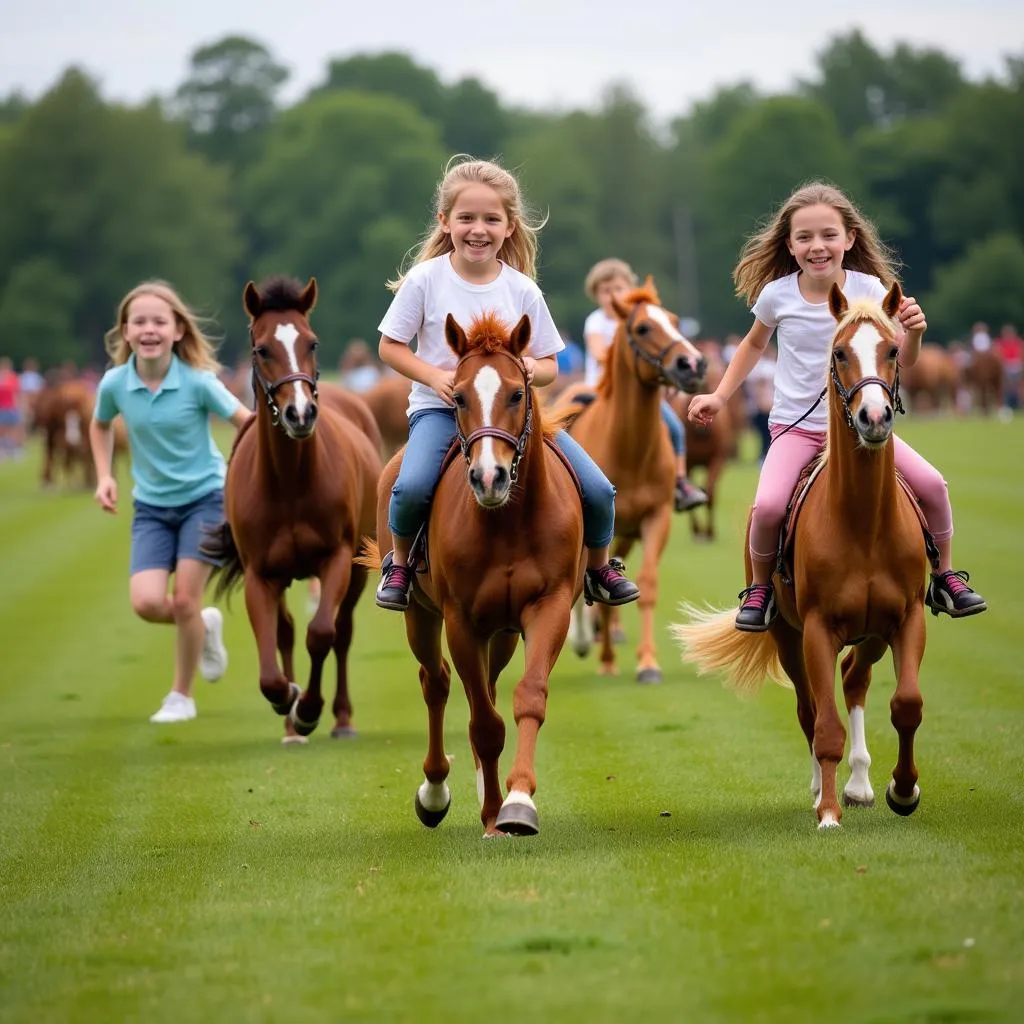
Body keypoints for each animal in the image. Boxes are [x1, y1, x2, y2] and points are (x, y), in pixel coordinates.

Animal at [203, 278, 385, 745]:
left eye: (312, 342)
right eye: (261, 349)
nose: (300, 413)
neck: (290, 482)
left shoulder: (337, 558)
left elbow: (322, 634)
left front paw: (310, 709)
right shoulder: (260, 573)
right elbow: (271, 655)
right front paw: (287, 697)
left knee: (342, 632)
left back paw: (339, 719)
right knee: (285, 631)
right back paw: (290, 725)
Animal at [362, 311, 585, 839]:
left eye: (518, 393)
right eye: (459, 397)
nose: (489, 478)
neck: (507, 522)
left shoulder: (548, 607)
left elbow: (527, 698)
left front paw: (518, 802)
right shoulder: (461, 621)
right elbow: (484, 725)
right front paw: (492, 813)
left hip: (500, 633)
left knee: (487, 688)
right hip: (422, 617)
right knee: (437, 682)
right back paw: (436, 792)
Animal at [561, 278, 704, 679]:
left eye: (675, 320)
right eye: (642, 328)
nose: (692, 363)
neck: (630, 450)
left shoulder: (657, 518)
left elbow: (648, 586)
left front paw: (648, 663)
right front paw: (596, 648)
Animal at [675, 284, 933, 827]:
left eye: (893, 350)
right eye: (839, 354)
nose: (873, 417)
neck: (863, 523)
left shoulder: (905, 619)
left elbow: (907, 704)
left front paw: (903, 790)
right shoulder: (816, 629)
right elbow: (824, 723)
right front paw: (829, 812)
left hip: (871, 633)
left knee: (854, 680)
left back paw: (860, 783)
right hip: (787, 635)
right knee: (810, 708)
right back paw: (824, 789)